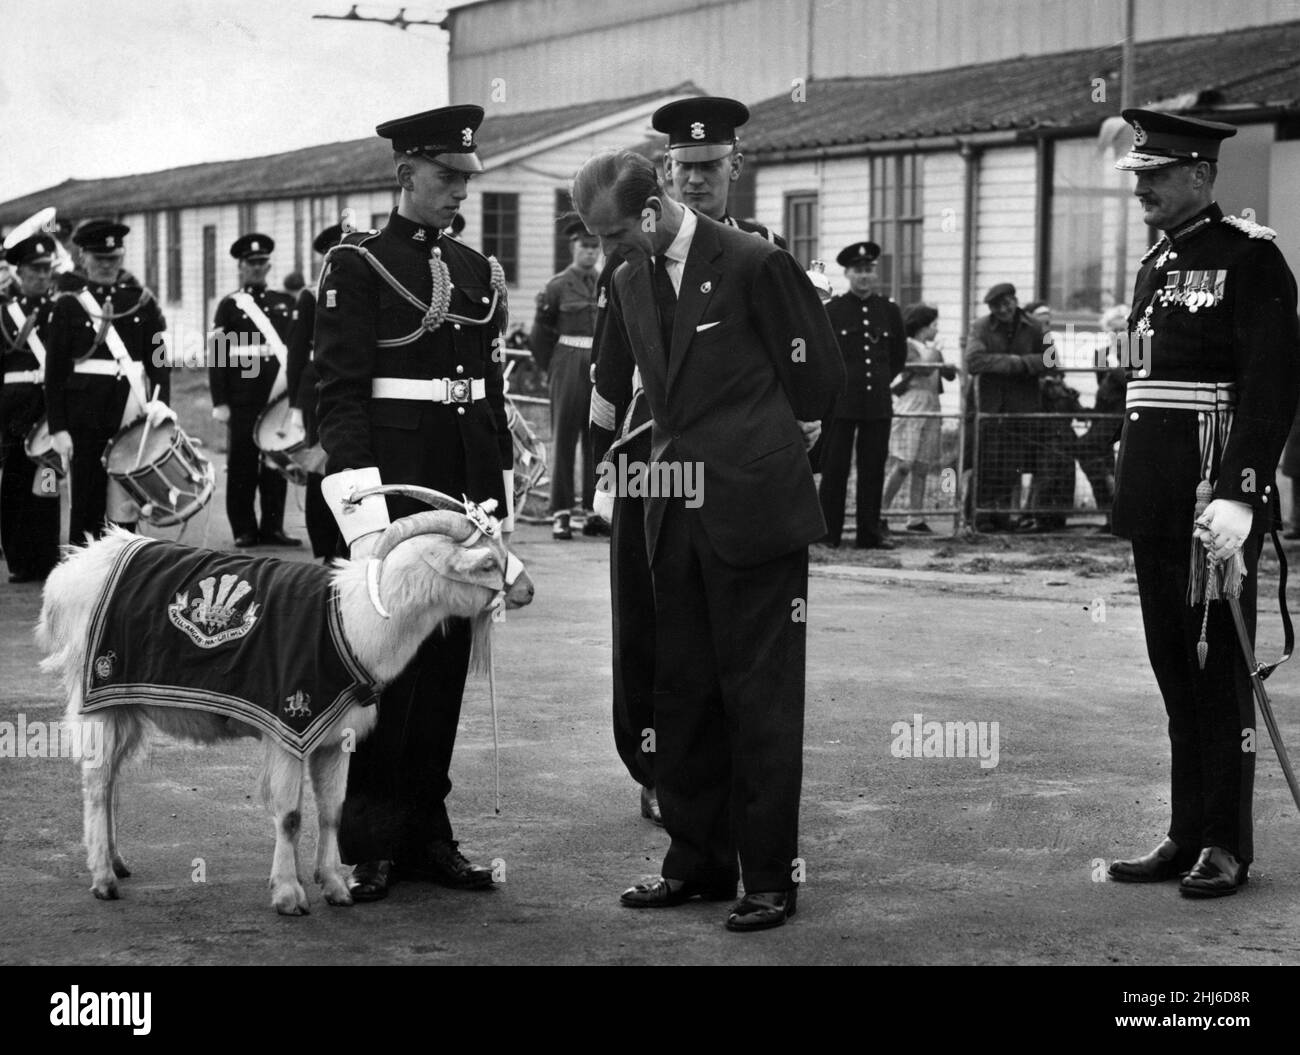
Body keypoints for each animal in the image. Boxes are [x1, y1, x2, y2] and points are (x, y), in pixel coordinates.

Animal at [36, 493, 533, 914]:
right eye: (488, 562)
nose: (527, 591)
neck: (353, 617)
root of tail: (75, 568)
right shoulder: (289, 724)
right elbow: (291, 816)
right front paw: (290, 894)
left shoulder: (336, 735)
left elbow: (331, 811)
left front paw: (334, 886)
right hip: (96, 694)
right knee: (97, 782)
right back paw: (103, 879)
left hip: (122, 703)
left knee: (112, 780)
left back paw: (117, 862)